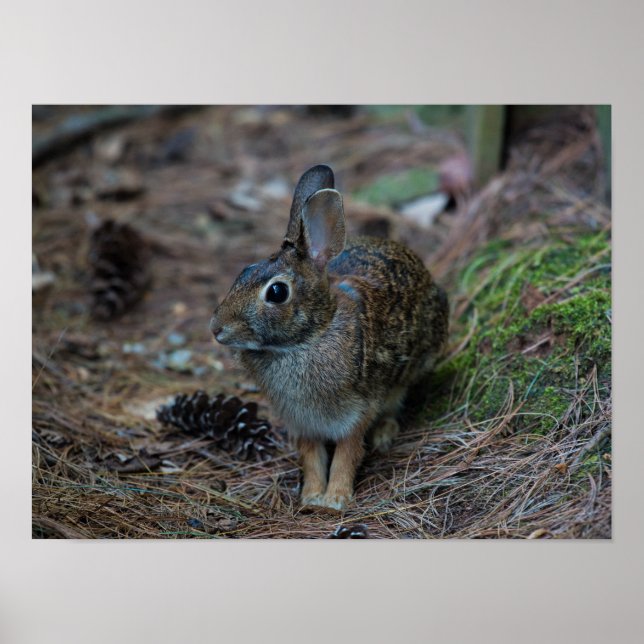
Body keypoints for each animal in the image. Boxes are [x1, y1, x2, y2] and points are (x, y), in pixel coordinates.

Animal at [210, 165, 448, 511]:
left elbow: (346, 454)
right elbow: (312, 457)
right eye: (244, 271)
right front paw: (311, 497)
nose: (217, 328)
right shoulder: (302, 423)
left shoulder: (356, 411)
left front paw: (335, 499)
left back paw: (384, 435)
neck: (309, 337)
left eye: (277, 292)